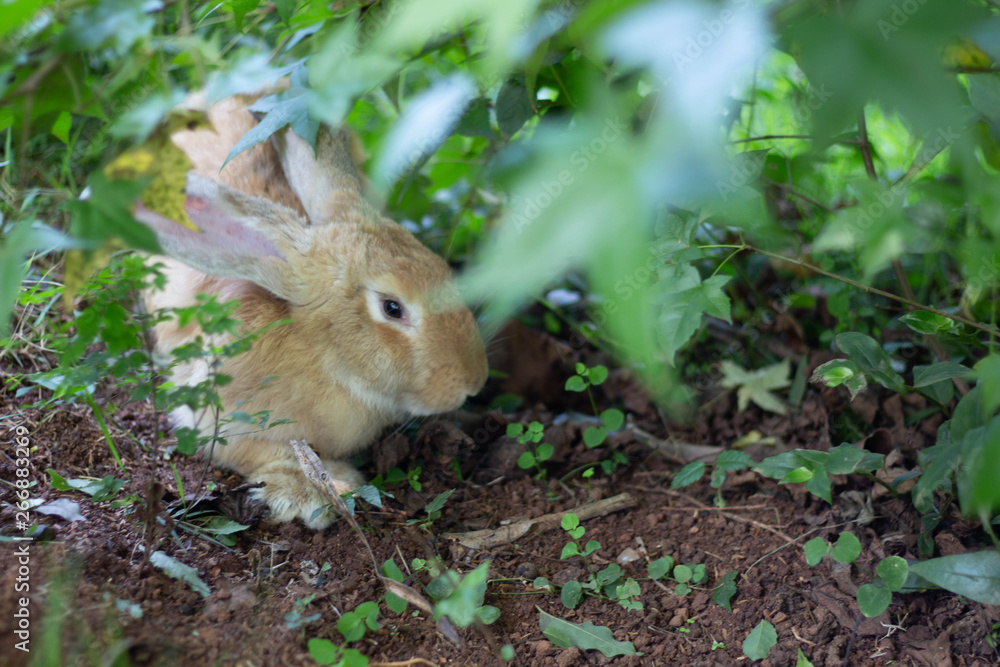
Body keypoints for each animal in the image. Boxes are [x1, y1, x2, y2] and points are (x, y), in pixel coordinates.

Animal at [137, 93, 489, 529]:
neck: (327, 358)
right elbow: (262, 452)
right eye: (392, 308)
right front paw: (312, 493)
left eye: (444, 271)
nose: (474, 382)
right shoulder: (213, 420)